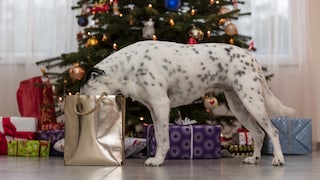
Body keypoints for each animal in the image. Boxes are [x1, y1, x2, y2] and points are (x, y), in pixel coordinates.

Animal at [80, 40, 296, 167]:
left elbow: (163, 139)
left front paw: (157, 160)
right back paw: (254, 158)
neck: (129, 67)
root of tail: (250, 57)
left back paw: (278, 159)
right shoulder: (152, 108)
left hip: (252, 101)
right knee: (259, 133)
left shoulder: (161, 104)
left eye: (83, 94)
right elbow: (159, 136)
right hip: (238, 105)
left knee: (272, 131)